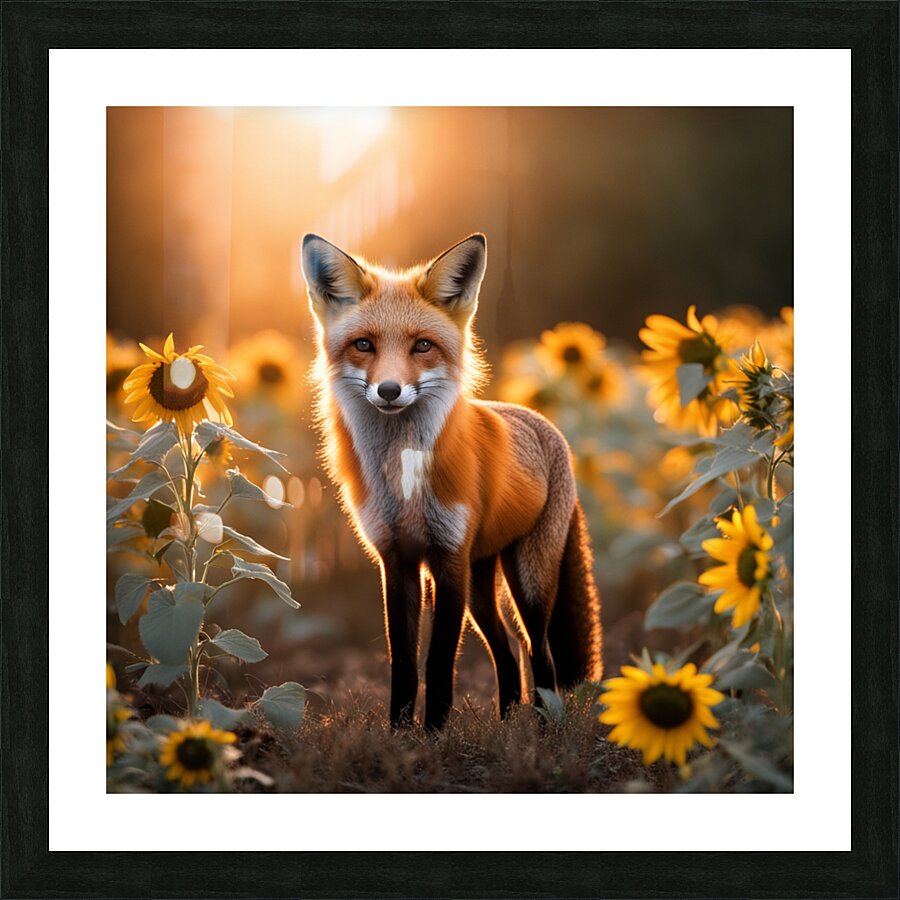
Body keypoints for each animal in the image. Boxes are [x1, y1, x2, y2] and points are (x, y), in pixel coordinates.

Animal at [301, 232, 602, 730]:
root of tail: (543, 423)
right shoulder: (397, 561)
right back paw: (505, 723)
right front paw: (401, 734)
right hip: (482, 586)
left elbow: (439, 662)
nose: (388, 390)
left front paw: (434, 733)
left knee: (538, 653)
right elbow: (403, 662)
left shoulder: (449, 558)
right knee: (507, 651)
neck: (405, 484)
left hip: (528, 580)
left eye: (422, 346)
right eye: (364, 344)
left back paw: (543, 728)